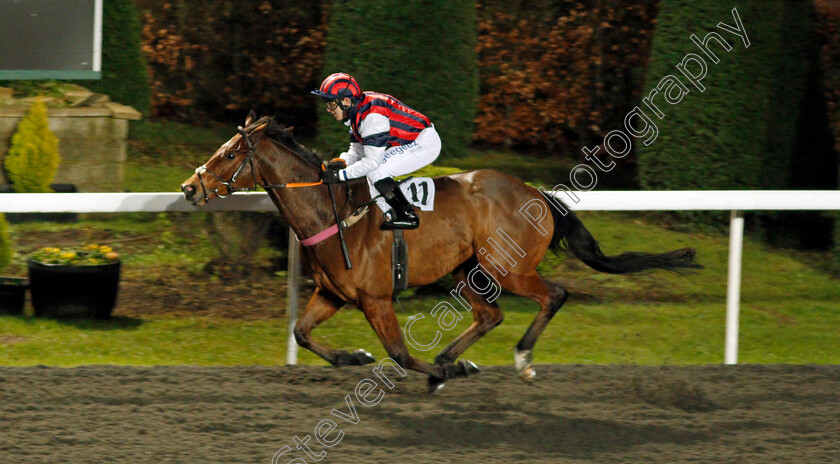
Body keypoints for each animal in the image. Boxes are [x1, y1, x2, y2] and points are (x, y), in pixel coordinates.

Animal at [182, 112, 704, 392]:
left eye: (231, 154)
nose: (189, 187)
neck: (329, 211)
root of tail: (537, 193)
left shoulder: (376, 299)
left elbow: (399, 352)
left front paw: (436, 369)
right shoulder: (332, 294)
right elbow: (302, 333)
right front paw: (357, 356)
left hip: (508, 268)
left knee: (553, 295)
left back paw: (520, 360)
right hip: (464, 270)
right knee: (490, 314)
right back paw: (457, 358)